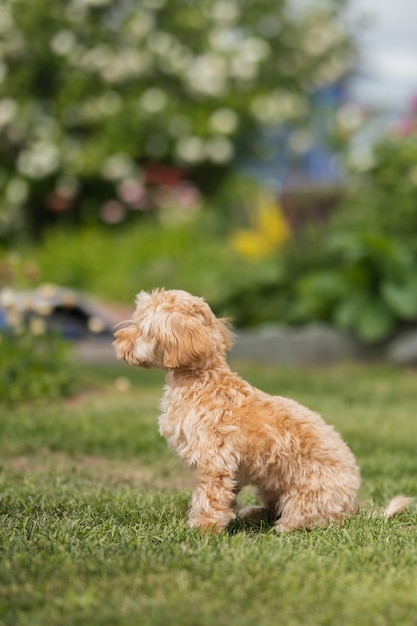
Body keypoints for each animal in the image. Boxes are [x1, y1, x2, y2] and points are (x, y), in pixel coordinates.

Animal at [112, 288, 412, 532]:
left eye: (142, 327)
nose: (117, 340)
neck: (202, 380)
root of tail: (351, 503)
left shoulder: (214, 461)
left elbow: (209, 498)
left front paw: (203, 529)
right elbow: (226, 497)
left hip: (305, 498)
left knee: (309, 519)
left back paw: (285, 527)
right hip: (269, 485)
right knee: (271, 508)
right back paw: (252, 515)